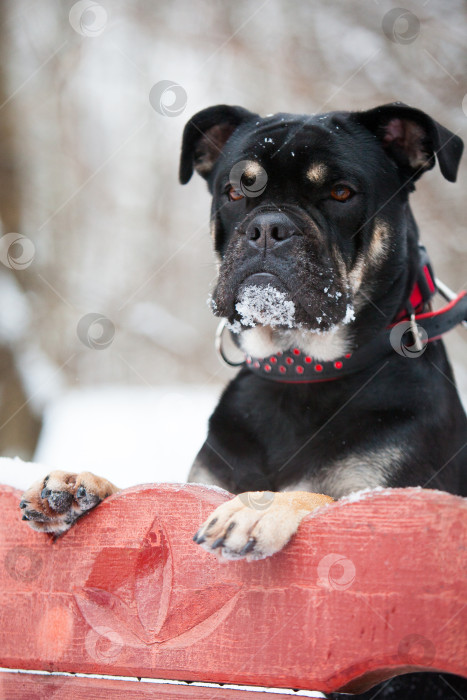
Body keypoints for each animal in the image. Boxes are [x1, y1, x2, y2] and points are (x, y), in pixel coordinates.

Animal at [21, 101, 467, 696]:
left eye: (341, 193)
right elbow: (151, 490)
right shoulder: (201, 483)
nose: (268, 228)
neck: (298, 373)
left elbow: (322, 498)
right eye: (236, 190)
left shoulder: (394, 507)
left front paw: (263, 507)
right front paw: (78, 486)